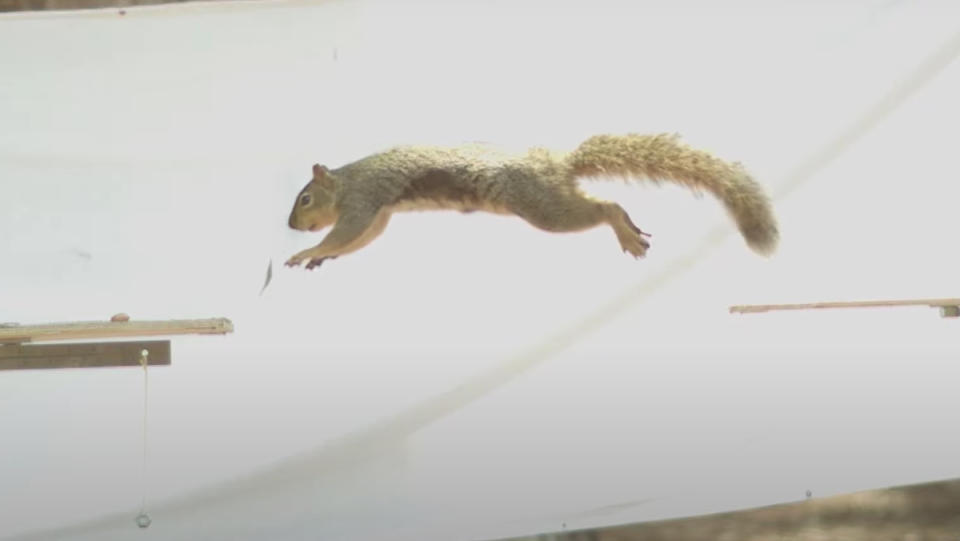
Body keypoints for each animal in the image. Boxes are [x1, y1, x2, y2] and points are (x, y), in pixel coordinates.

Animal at [284, 133, 780, 268]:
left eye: (305, 199)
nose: (291, 226)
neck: (347, 181)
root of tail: (559, 164)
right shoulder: (379, 213)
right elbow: (359, 240)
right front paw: (321, 258)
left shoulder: (365, 200)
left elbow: (345, 233)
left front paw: (307, 251)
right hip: (553, 199)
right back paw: (630, 231)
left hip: (545, 209)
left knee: (602, 208)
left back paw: (624, 233)